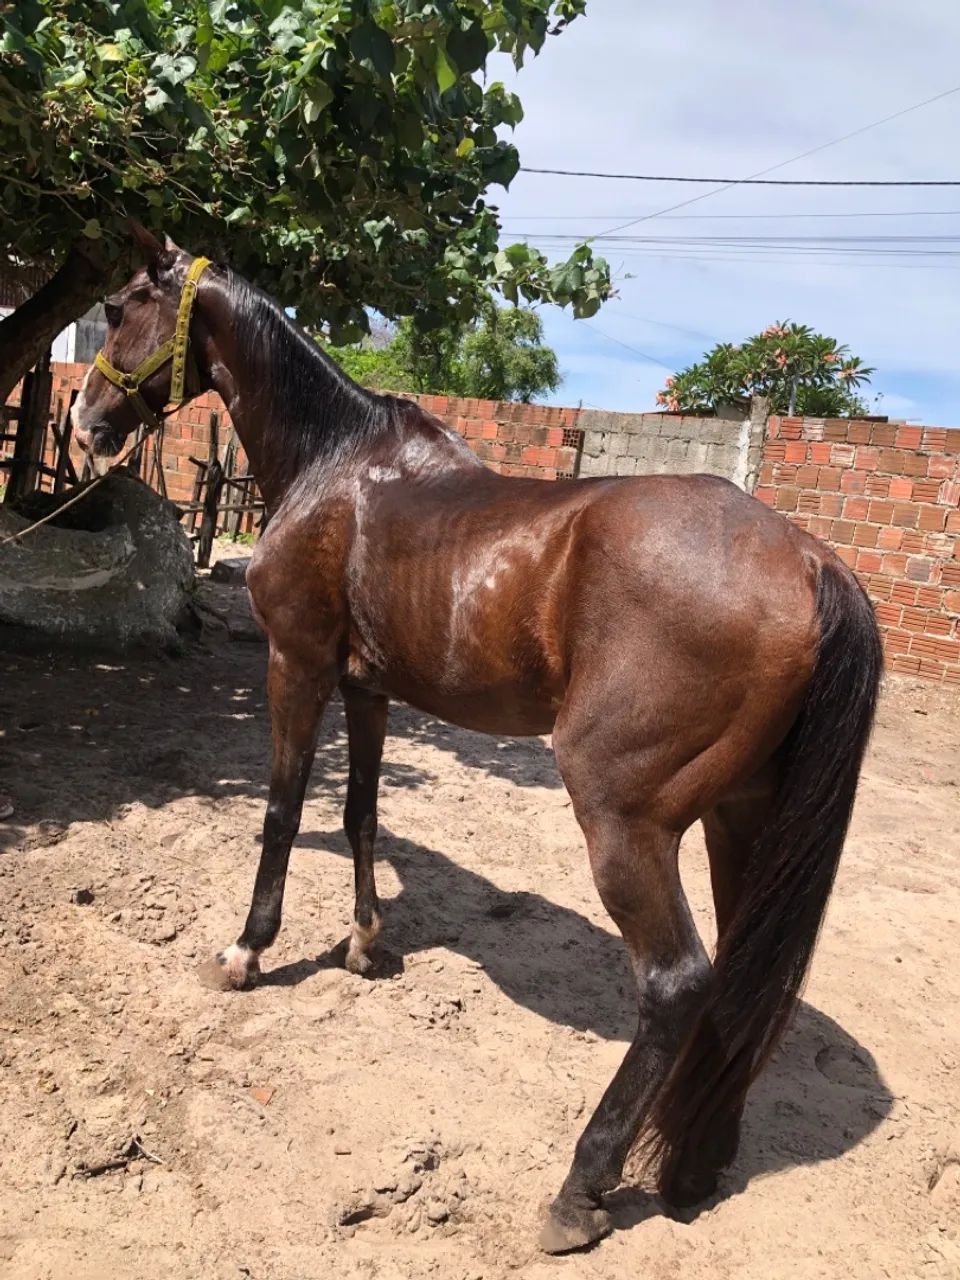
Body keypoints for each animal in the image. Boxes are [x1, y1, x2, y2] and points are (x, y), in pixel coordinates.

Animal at [71, 226, 883, 1254]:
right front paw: (365, 945)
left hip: (625, 819)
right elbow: (361, 808)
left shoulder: (296, 664)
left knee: (677, 983)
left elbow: (283, 809)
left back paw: (580, 1189)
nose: (84, 425)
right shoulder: (366, 686)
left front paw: (248, 952)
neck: (337, 467)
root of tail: (811, 561)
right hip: (745, 821)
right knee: (741, 978)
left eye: (118, 309)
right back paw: (695, 1165)